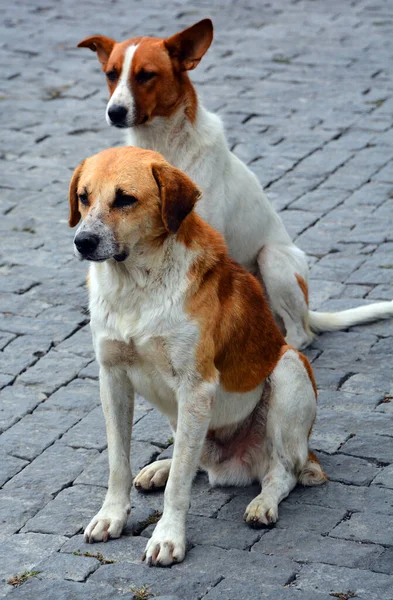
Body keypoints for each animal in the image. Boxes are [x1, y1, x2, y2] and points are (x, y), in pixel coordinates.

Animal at [69, 145, 326, 568]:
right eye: (83, 197)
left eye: (125, 199)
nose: (83, 241)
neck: (137, 286)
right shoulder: (112, 377)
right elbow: (118, 463)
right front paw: (111, 516)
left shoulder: (196, 388)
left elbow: (179, 487)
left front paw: (168, 538)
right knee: (193, 462)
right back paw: (159, 468)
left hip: (288, 371)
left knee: (282, 471)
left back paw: (263, 503)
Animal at [76, 18, 392, 350]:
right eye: (111, 74)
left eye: (146, 75)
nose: (115, 112)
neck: (162, 145)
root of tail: (308, 309)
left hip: (273, 259)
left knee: (301, 333)